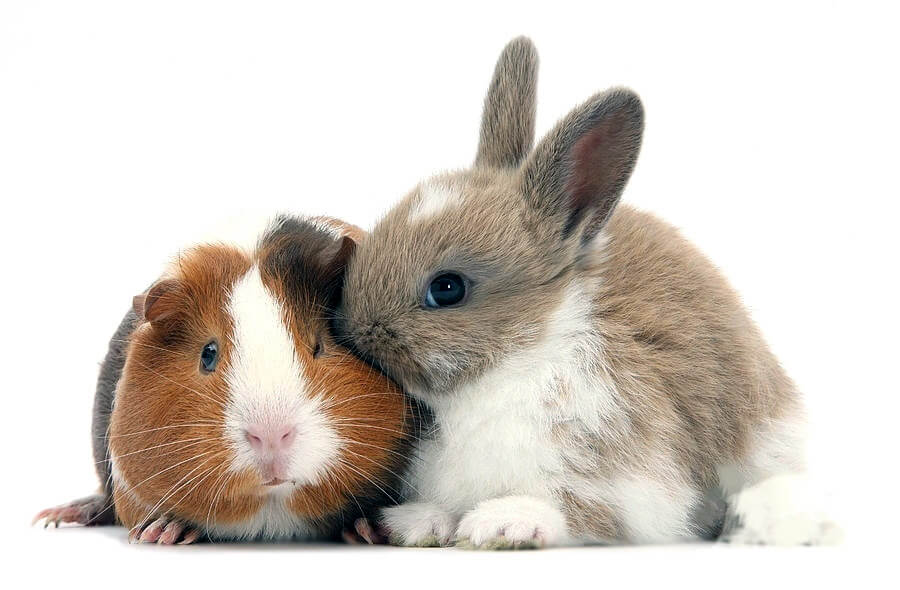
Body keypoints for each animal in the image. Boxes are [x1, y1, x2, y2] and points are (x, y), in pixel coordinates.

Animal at [335, 37, 839, 548]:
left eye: (447, 288)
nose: (353, 327)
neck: (521, 359)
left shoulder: (628, 477)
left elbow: (577, 509)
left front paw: (504, 522)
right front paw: (414, 522)